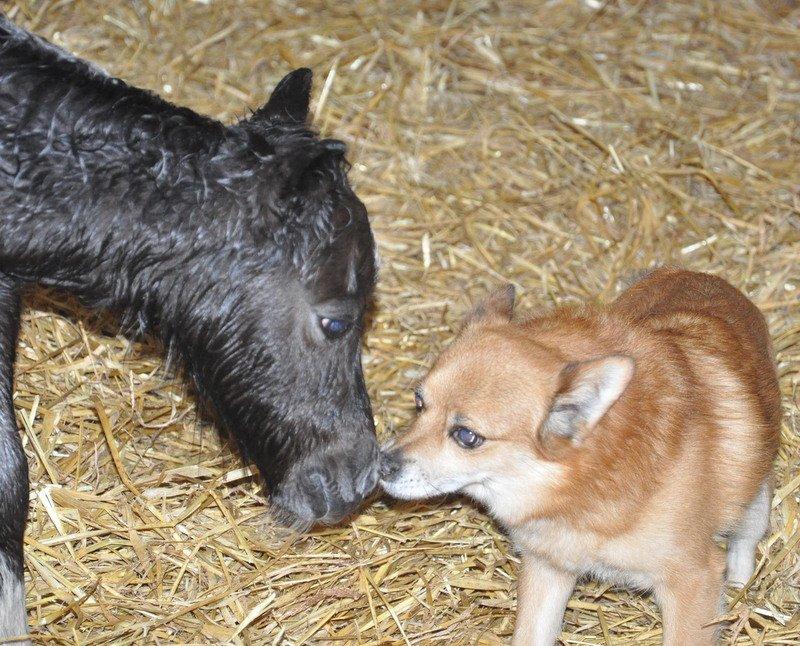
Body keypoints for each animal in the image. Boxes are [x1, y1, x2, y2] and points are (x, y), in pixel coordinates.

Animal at [382, 270, 780, 646]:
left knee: (746, 539)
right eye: (419, 402)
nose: (382, 465)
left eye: (466, 436)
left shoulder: (692, 580)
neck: (588, 483)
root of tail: (703, 277)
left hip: (755, 497)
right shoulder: (548, 569)